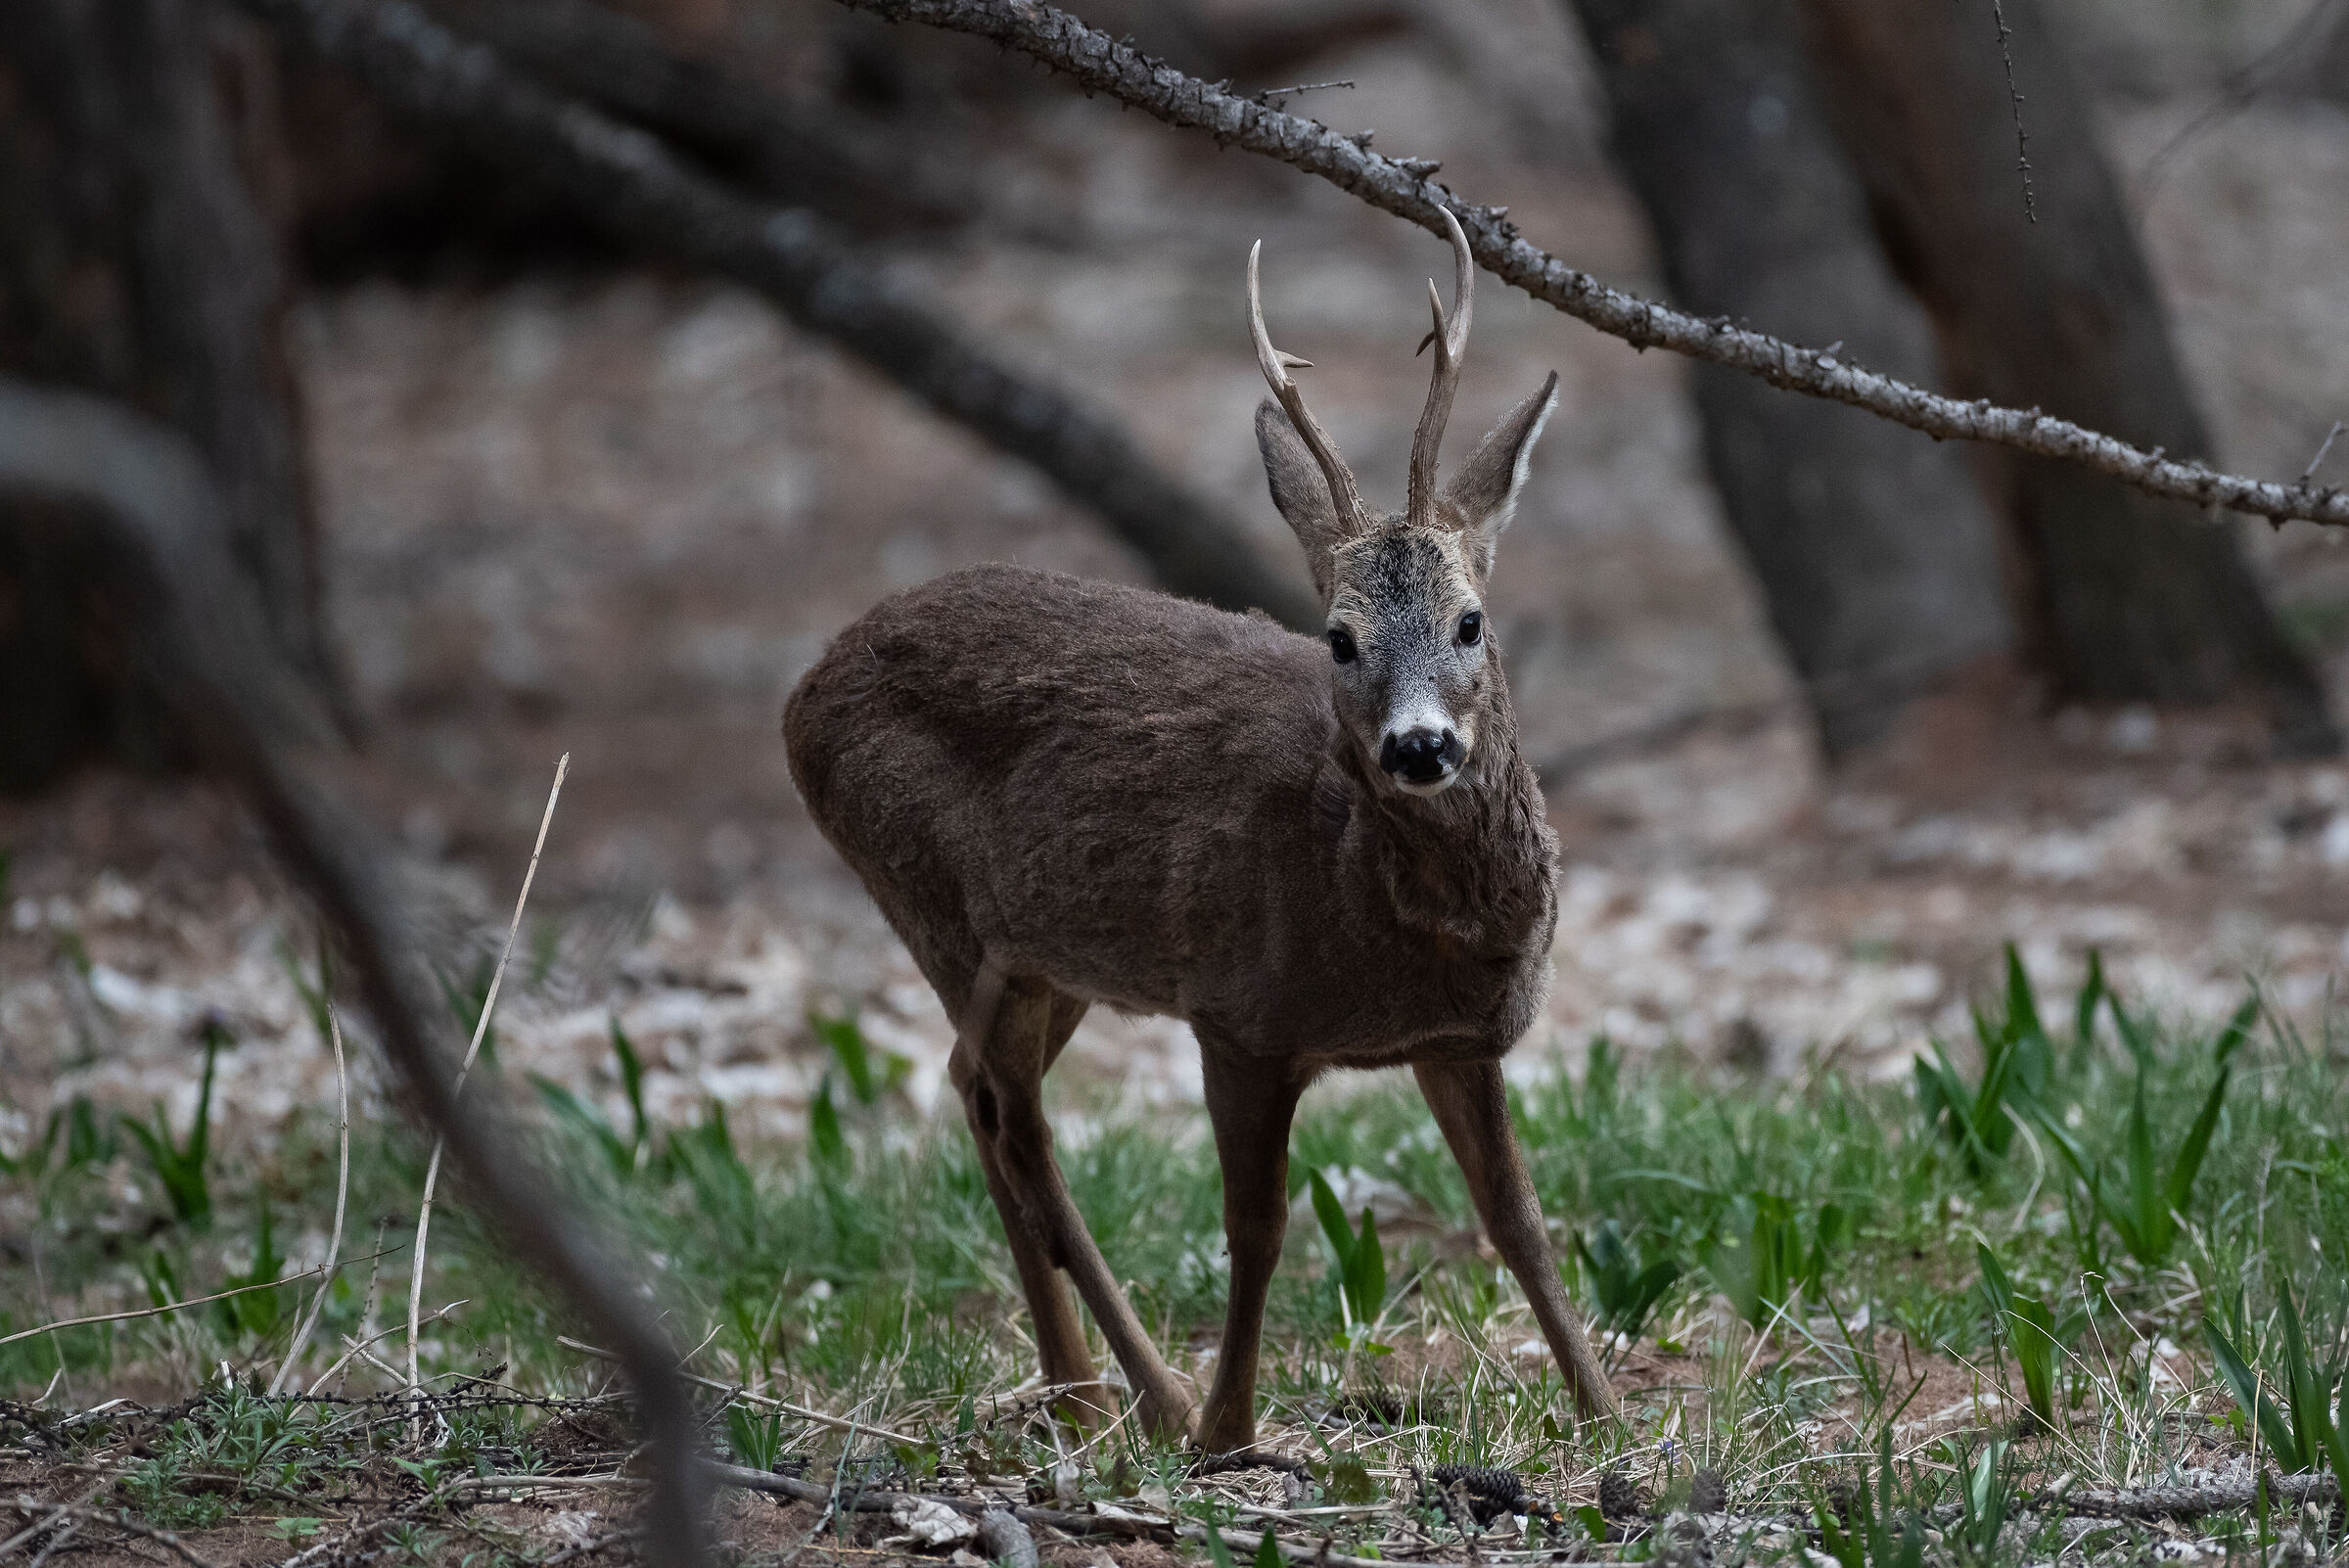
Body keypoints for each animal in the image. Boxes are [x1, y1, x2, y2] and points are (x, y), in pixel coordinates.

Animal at [783, 209, 1617, 1451]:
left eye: (1472, 621)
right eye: (1338, 639)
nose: (1420, 748)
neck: (1380, 910)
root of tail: (801, 691)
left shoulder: (1461, 1041)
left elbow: (1515, 1216)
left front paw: (1609, 1412)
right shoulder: (1240, 1013)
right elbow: (1257, 1226)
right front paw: (1230, 1425)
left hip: (1049, 959)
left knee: (971, 1088)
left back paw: (1078, 1389)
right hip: (936, 904)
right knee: (1014, 1119)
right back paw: (1156, 1398)